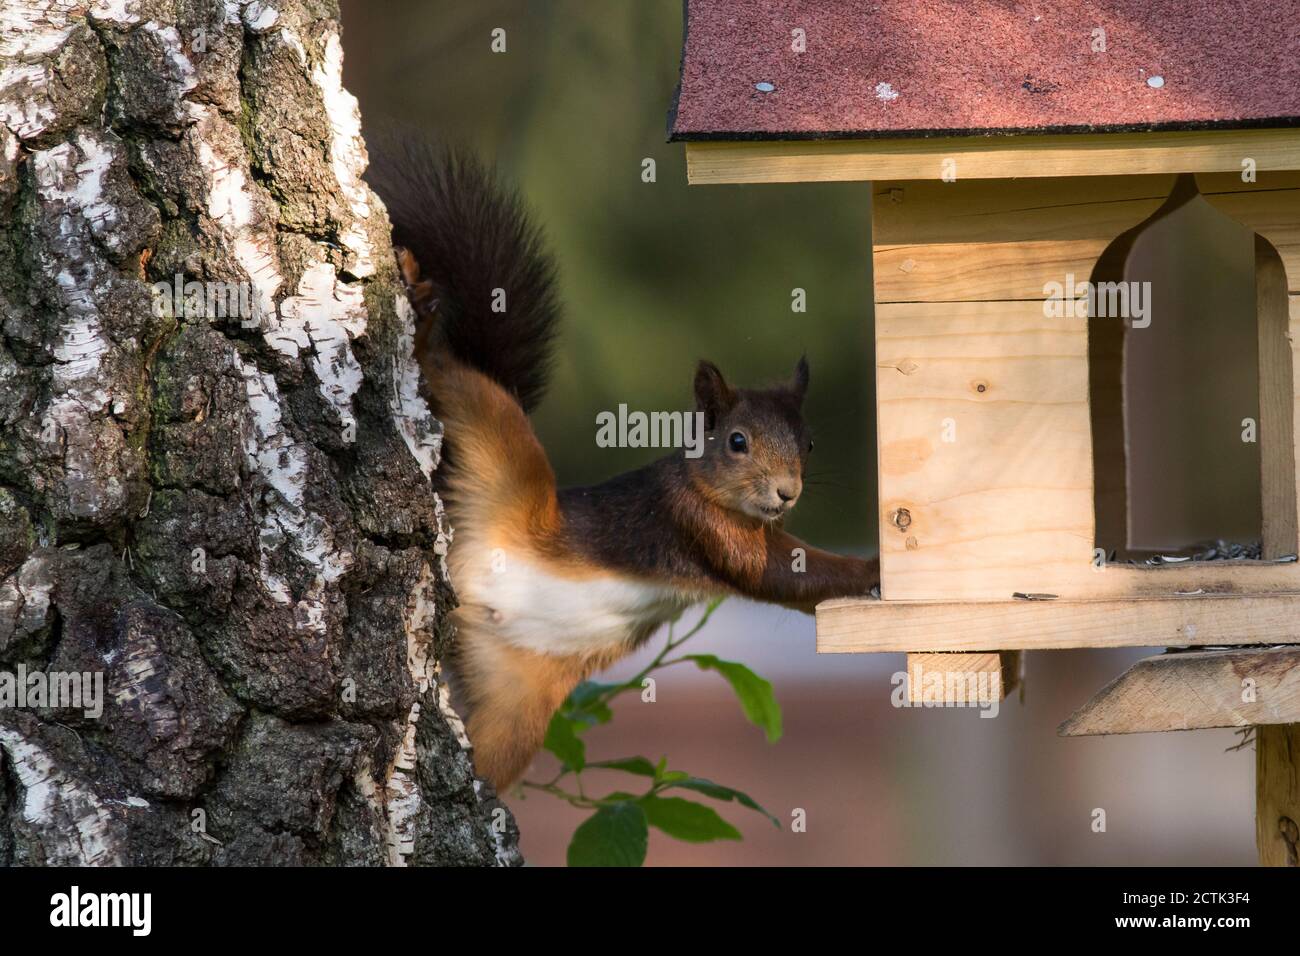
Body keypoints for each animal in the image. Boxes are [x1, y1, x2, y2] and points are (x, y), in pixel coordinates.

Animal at [365, 135, 879, 789]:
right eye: (737, 442)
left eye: (809, 443)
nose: (787, 492)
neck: (706, 486)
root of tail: (470, 578)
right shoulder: (690, 519)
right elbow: (777, 571)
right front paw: (872, 570)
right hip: (497, 441)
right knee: (453, 375)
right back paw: (425, 326)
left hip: (514, 697)